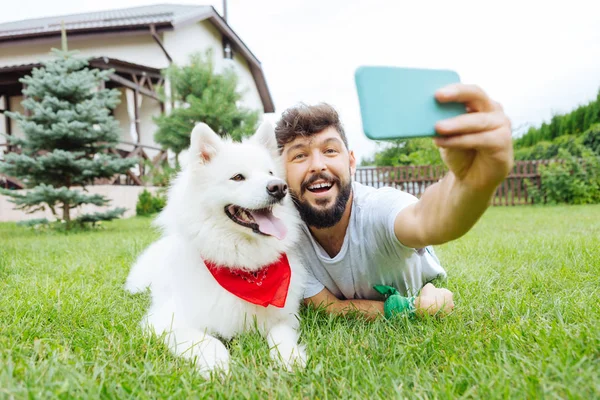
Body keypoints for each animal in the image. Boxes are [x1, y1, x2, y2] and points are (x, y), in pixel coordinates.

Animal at [125, 122, 308, 378]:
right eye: (238, 177)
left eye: (270, 174)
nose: (278, 188)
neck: (242, 266)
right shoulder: (165, 322)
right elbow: (210, 341)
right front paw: (218, 367)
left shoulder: (285, 318)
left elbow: (280, 336)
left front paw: (289, 358)